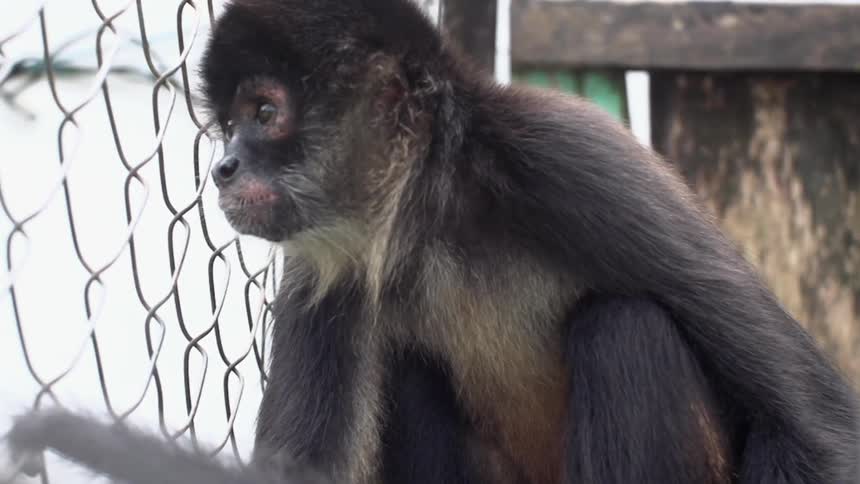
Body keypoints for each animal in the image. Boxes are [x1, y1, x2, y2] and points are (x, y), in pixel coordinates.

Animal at [5, 0, 859, 483]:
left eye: (264, 112)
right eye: (230, 123)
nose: (222, 165)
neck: (436, 219)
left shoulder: (571, 160)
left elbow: (819, 430)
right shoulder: (323, 261)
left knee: (627, 326)